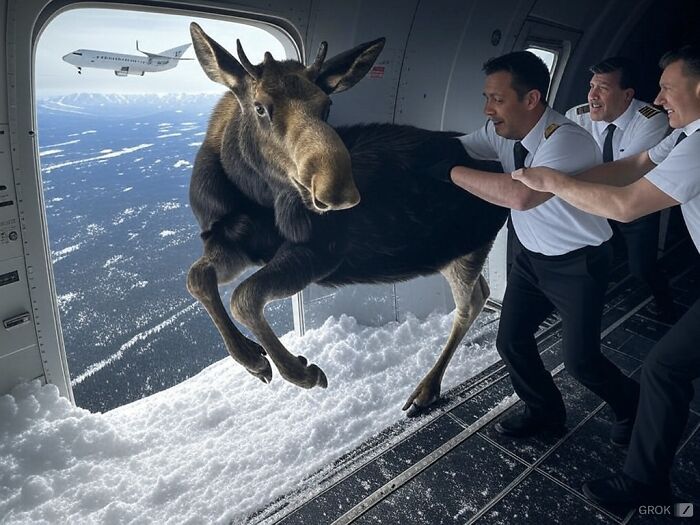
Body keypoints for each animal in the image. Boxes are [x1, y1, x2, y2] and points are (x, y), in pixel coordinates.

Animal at [186, 22, 508, 416]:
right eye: (260, 108)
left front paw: (299, 371)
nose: (338, 190)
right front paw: (252, 358)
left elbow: (245, 296)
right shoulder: (227, 240)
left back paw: (426, 388)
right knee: (480, 293)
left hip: (467, 246)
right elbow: (198, 277)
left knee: (471, 303)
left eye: (327, 106)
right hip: (453, 251)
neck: (252, 194)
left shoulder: (323, 251)